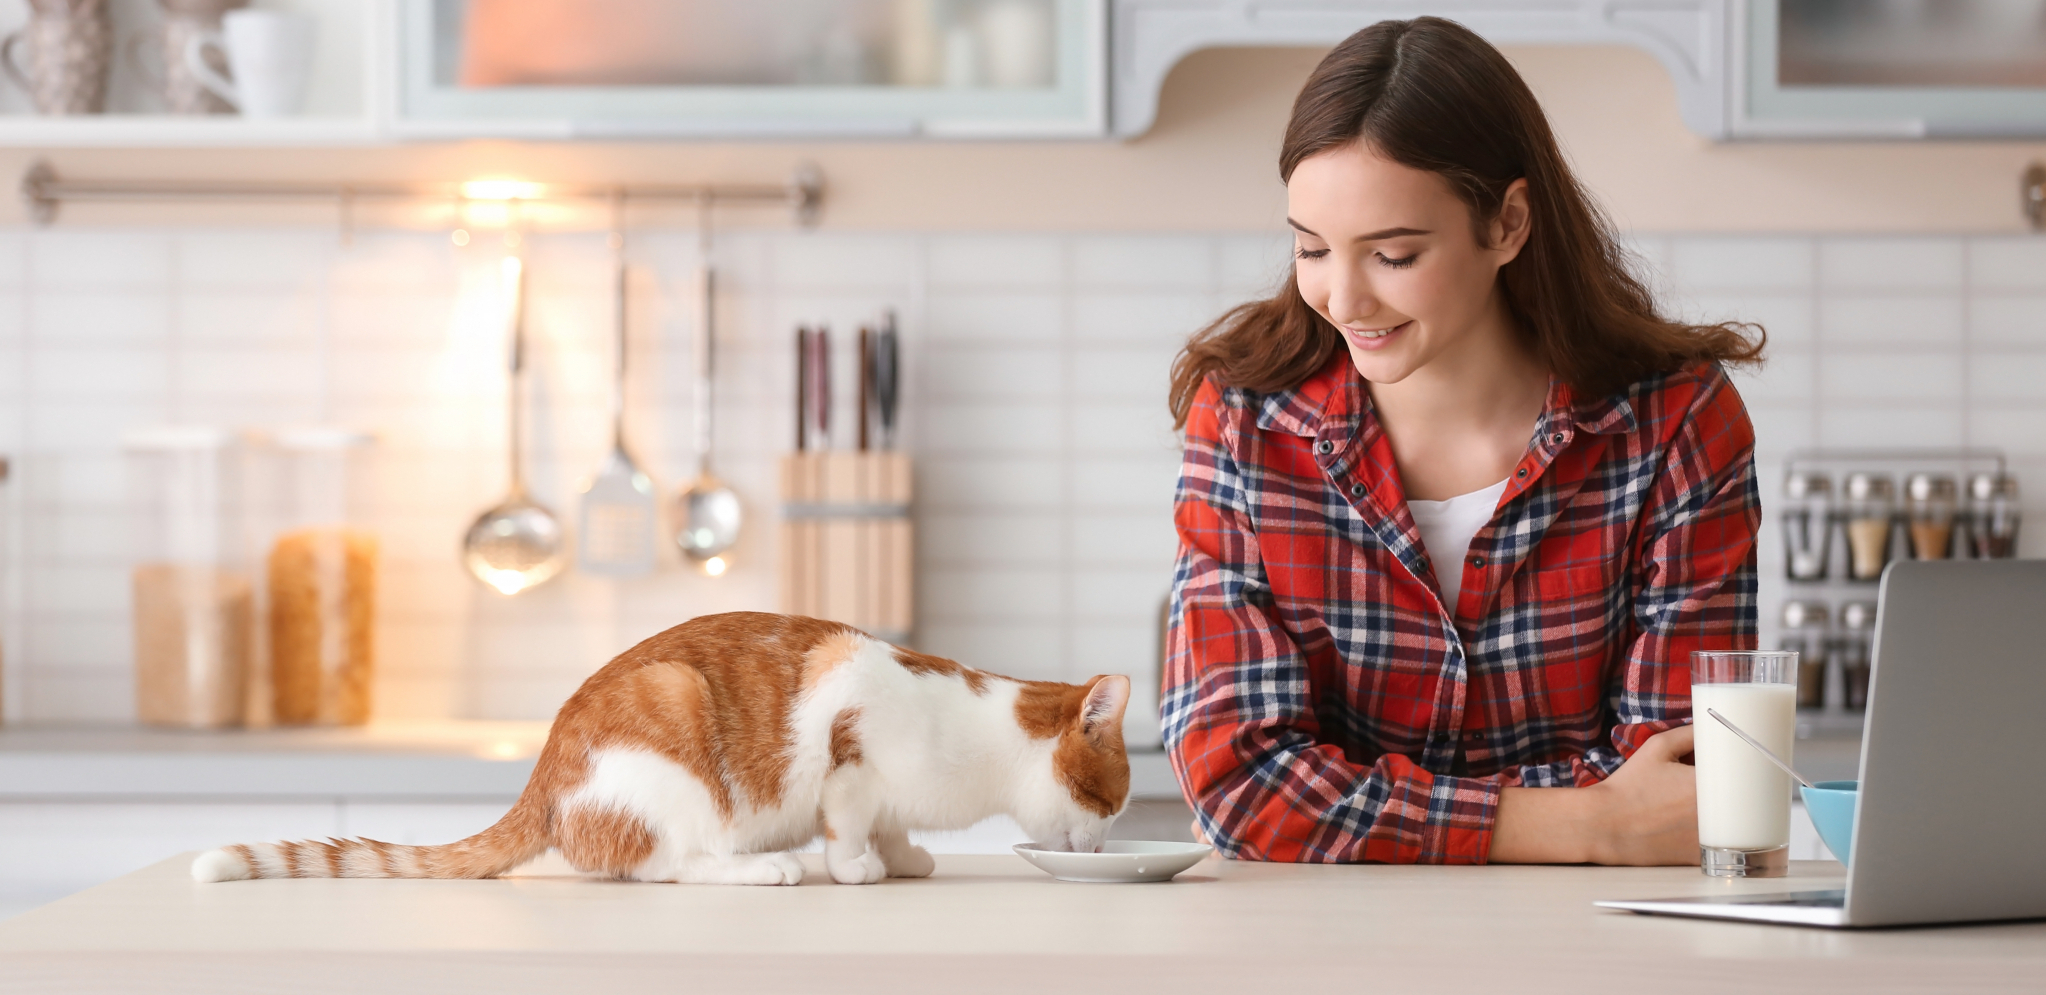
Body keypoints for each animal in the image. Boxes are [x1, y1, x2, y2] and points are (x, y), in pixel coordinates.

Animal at [192, 614, 1137, 884]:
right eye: (1111, 800)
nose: (1107, 842)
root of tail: (543, 776)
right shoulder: (851, 746)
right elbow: (847, 823)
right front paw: (858, 867)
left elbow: (898, 830)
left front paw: (905, 857)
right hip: (673, 721)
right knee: (663, 863)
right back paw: (764, 868)